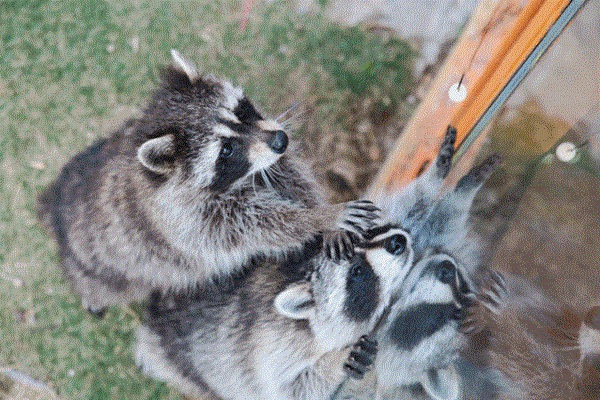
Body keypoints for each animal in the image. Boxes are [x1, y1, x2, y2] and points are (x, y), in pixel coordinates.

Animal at [37, 50, 378, 314]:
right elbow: (258, 228)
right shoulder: (188, 222)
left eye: (242, 109)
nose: (281, 140)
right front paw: (317, 218)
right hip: (103, 269)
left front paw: (319, 210)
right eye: (226, 149)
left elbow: (290, 177)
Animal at [135, 225, 412, 400]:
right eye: (357, 271)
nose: (398, 241)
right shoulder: (272, 344)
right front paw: (335, 362)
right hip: (182, 369)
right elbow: (293, 389)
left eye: (366, 233)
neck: (295, 272)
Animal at [338, 126, 502, 400]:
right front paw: (453, 177)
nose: (447, 270)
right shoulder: (420, 243)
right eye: (462, 288)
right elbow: (427, 215)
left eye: (436, 318)